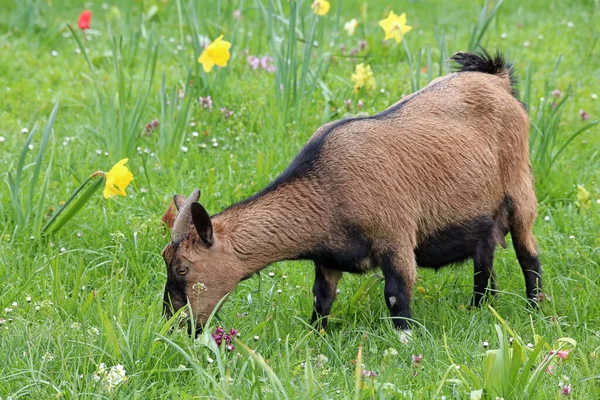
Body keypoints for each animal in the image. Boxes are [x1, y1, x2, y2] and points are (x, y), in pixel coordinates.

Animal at [161, 50, 544, 338]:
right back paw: (479, 308)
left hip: (520, 188)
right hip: (483, 215)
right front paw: (316, 340)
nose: (173, 324)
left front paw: (406, 346)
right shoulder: (328, 259)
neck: (326, 187)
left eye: (182, 268)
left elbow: (397, 297)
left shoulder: (395, 238)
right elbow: (322, 300)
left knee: (528, 254)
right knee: (484, 260)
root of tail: (496, 79)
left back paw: (535, 310)